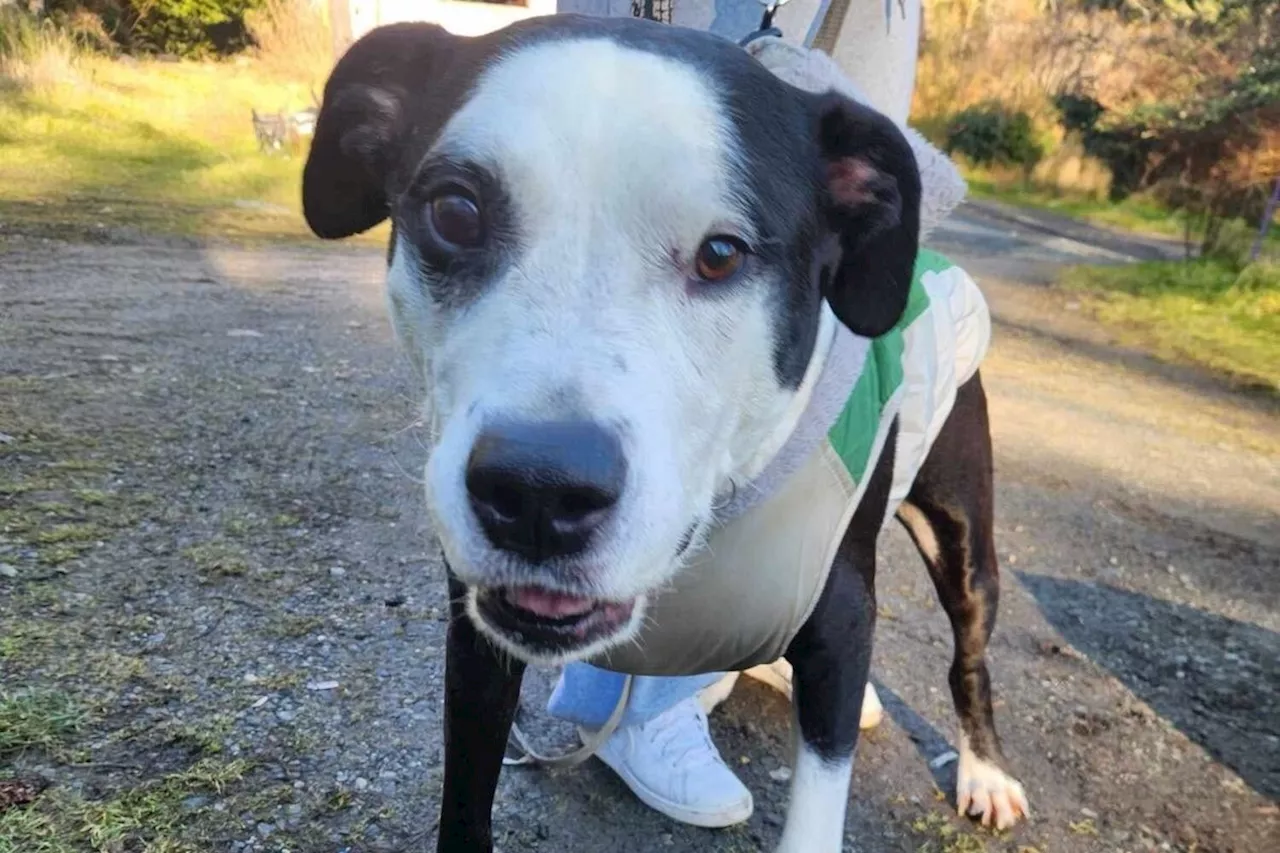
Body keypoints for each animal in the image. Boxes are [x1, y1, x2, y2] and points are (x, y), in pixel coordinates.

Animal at [299, 14, 1029, 850]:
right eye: (455, 214)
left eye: (722, 253)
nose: (539, 492)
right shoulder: (478, 636)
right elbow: (466, 798)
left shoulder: (840, 622)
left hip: (961, 531)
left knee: (969, 649)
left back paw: (986, 771)